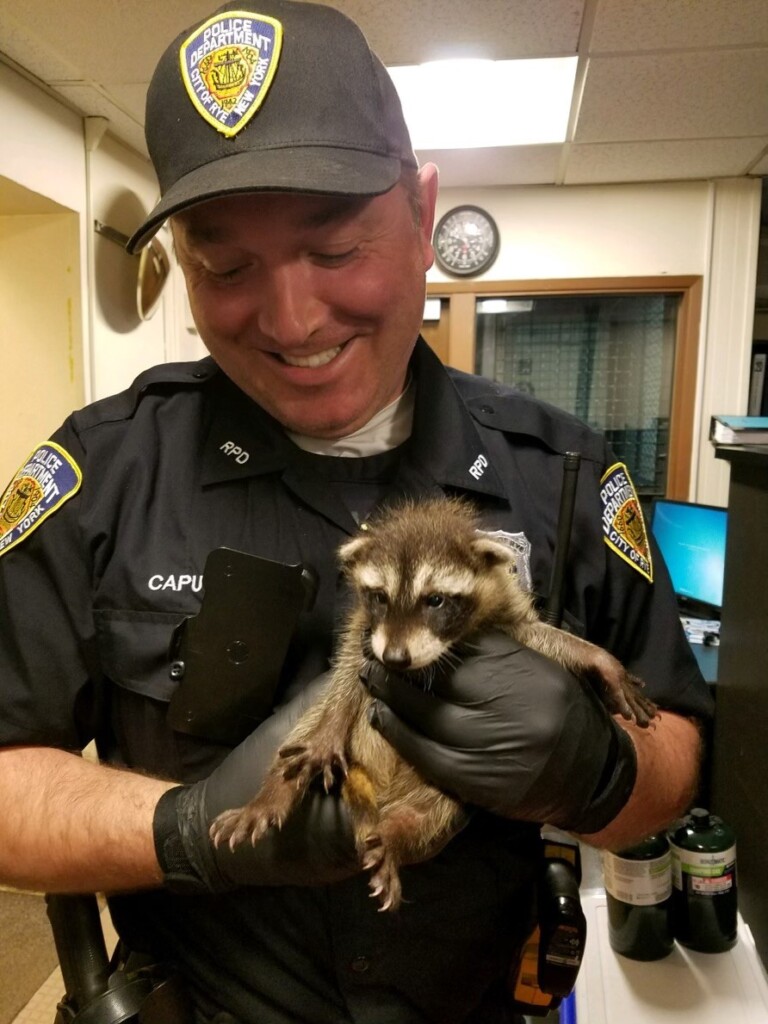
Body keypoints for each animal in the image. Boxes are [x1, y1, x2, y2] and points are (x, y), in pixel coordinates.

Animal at [214, 497, 659, 913]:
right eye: (380, 596)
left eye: (436, 601)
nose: (395, 659)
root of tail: (376, 796)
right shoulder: (364, 631)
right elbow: (347, 676)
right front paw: (329, 729)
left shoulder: (506, 611)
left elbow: (542, 636)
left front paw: (596, 656)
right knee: (300, 734)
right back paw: (272, 793)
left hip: (447, 788)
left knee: (431, 816)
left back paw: (396, 836)